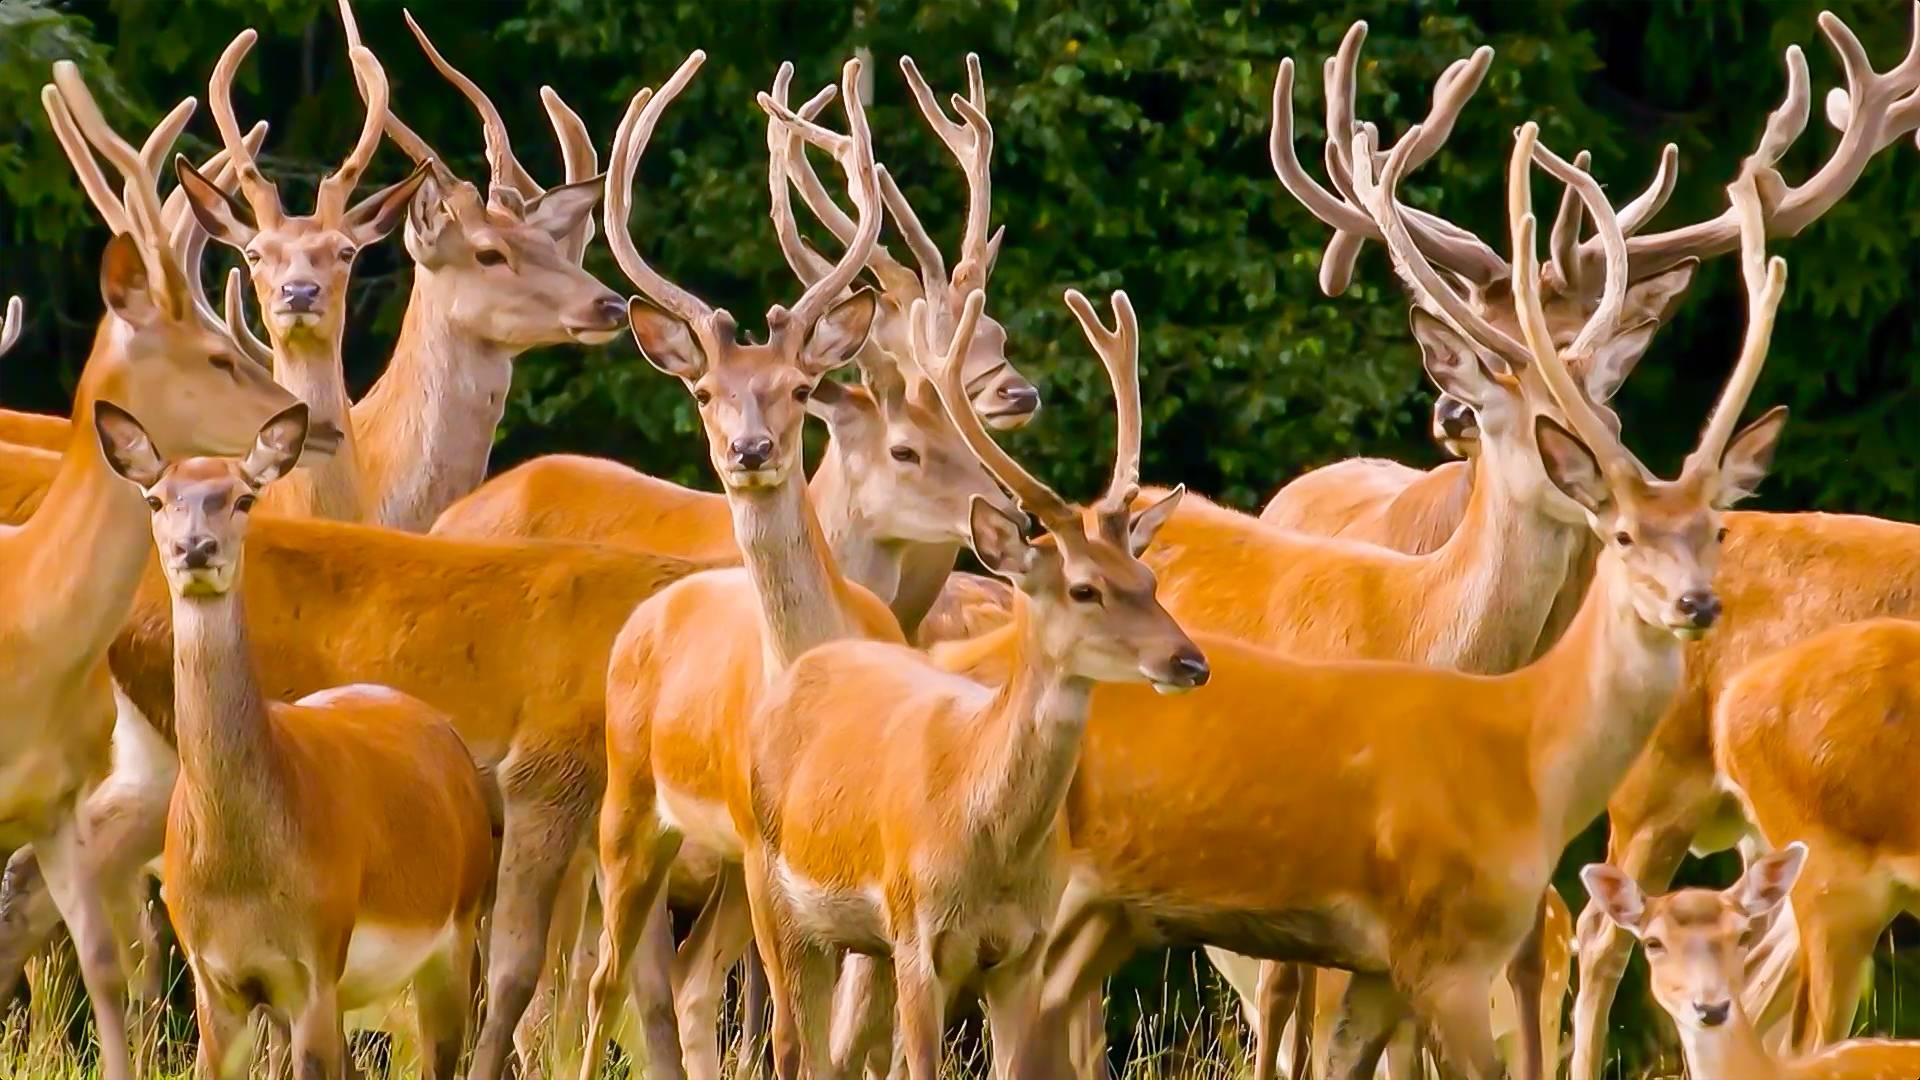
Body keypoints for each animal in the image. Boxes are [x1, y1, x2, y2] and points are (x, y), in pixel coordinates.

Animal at [95, 401, 495, 1076]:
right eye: (156, 498)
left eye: (243, 497)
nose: (194, 548)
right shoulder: (214, 977)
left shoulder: (316, 963)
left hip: (455, 932)